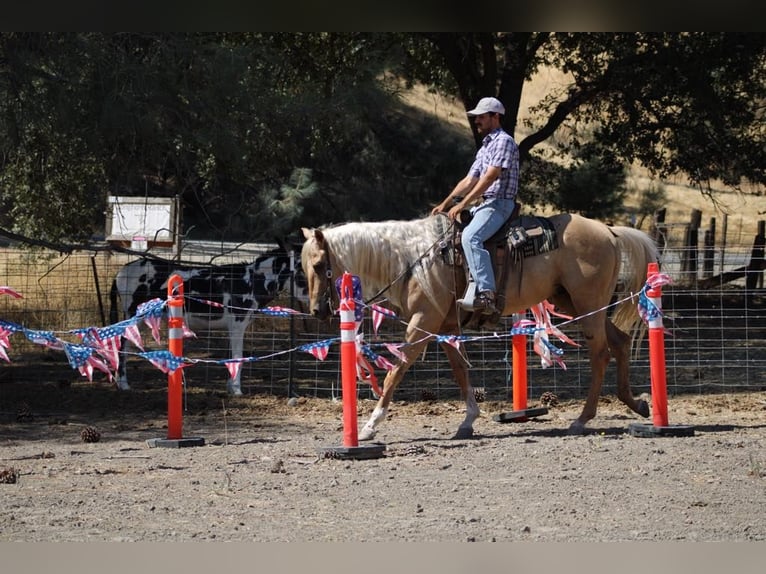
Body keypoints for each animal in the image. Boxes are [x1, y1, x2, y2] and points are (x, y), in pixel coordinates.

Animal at [111, 248, 308, 396]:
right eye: (302, 273)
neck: (249, 282)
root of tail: (122, 271)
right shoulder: (238, 325)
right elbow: (238, 356)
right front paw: (237, 391)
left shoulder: (233, 328)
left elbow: (231, 356)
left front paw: (230, 388)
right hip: (135, 316)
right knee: (122, 345)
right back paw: (123, 384)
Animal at [304, 215, 664, 440]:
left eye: (320, 265)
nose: (317, 310)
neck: (413, 260)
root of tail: (609, 231)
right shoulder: (444, 326)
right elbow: (460, 370)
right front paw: (468, 421)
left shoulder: (422, 323)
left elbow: (396, 370)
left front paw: (370, 426)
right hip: (574, 303)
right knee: (619, 342)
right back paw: (637, 403)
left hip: (587, 305)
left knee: (601, 353)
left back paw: (583, 418)